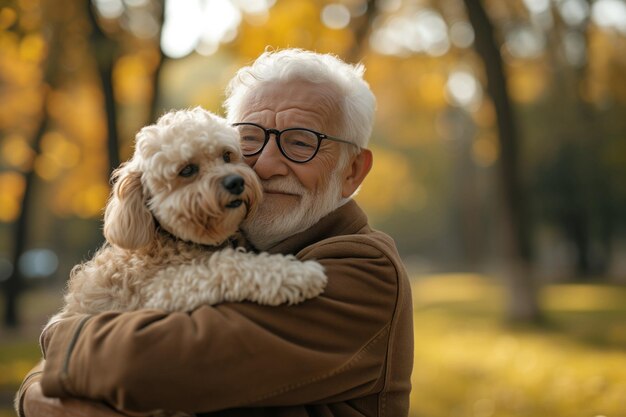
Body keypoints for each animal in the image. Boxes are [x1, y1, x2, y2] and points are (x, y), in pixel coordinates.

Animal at [46, 107, 324, 328]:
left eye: (227, 155)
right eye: (187, 170)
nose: (236, 182)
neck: (178, 241)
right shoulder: (162, 290)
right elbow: (227, 266)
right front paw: (297, 275)